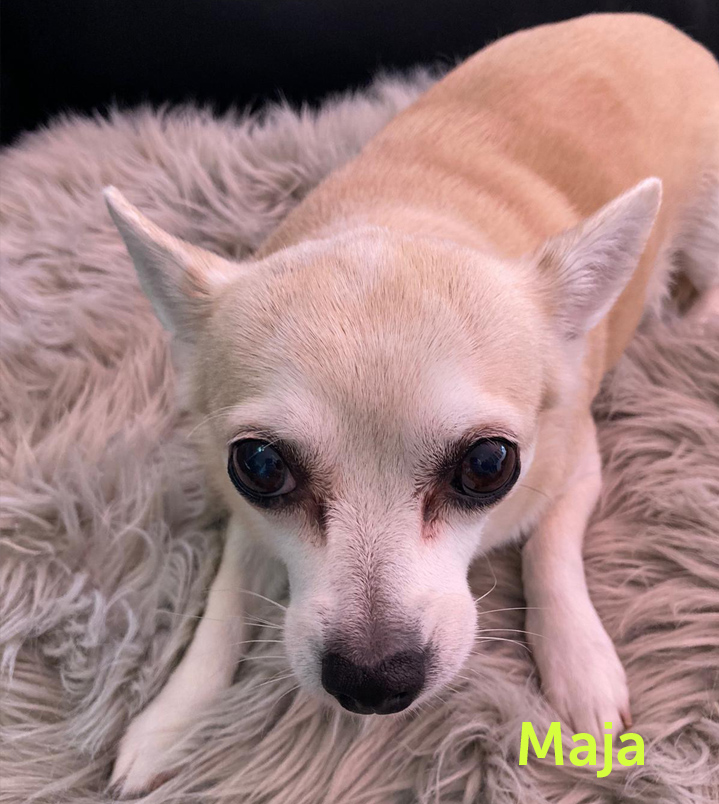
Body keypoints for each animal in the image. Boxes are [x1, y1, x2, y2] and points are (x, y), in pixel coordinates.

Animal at [104, 13, 719, 794]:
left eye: (489, 465)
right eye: (261, 467)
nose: (373, 680)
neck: (406, 213)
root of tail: (650, 22)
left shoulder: (575, 460)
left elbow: (549, 545)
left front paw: (578, 665)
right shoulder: (246, 517)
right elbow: (224, 601)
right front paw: (170, 719)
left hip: (705, 223)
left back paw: (695, 326)